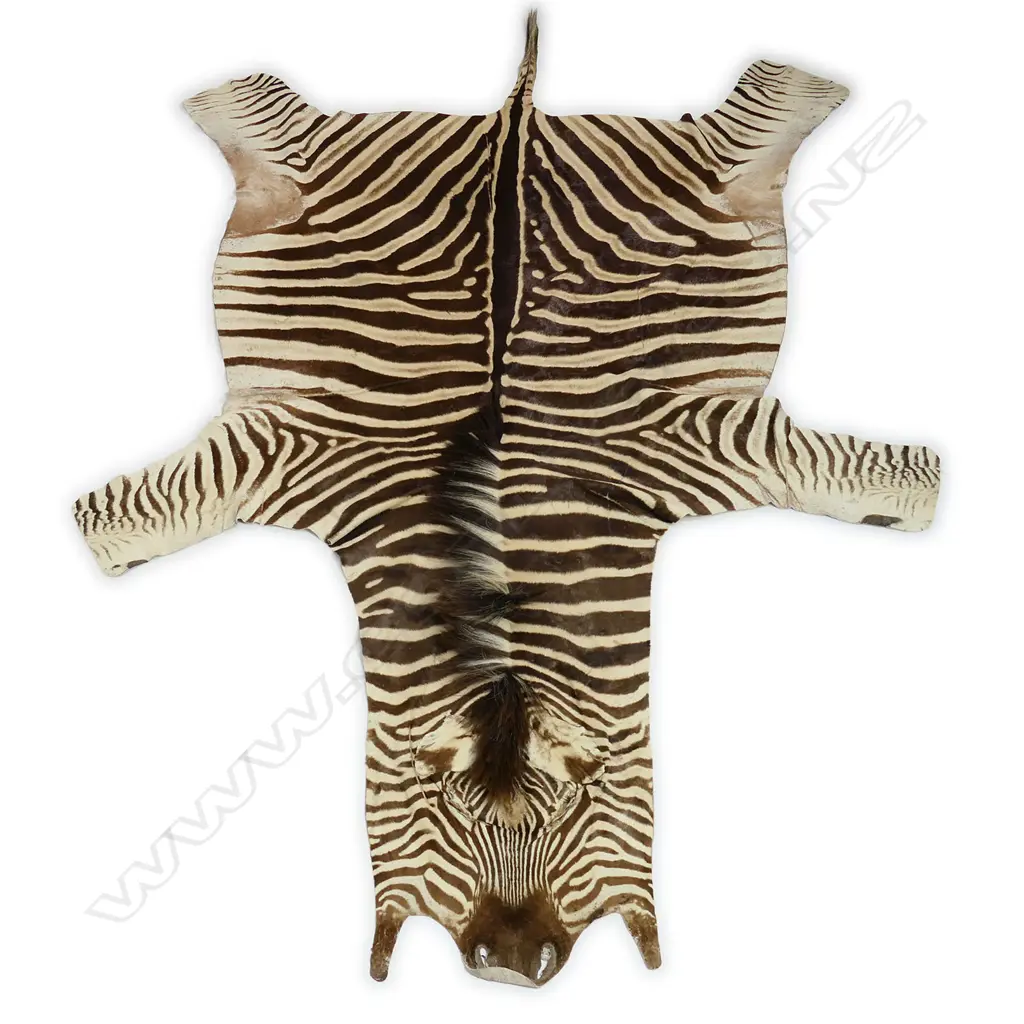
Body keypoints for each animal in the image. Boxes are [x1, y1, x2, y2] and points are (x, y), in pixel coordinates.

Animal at [74, 13, 940, 988]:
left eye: (569, 812)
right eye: (450, 814)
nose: (511, 969)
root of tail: (514, 117)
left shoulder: (711, 445)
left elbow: (899, 485)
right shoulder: (285, 458)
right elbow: (118, 522)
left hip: (717, 159)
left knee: (776, 98)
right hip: (296, 151)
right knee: (244, 100)